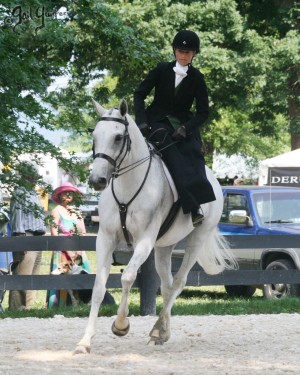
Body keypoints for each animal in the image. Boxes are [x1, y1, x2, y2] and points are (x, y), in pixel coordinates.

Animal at [74, 98, 236, 354]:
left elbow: (128, 277)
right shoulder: (105, 238)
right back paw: (161, 332)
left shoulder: (145, 241)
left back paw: (158, 329)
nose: (97, 181)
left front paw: (121, 325)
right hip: (164, 246)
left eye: (118, 137)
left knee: (178, 282)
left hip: (197, 239)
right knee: (167, 285)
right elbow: (99, 287)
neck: (127, 186)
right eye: (95, 136)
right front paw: (85, 342)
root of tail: (214, 179)